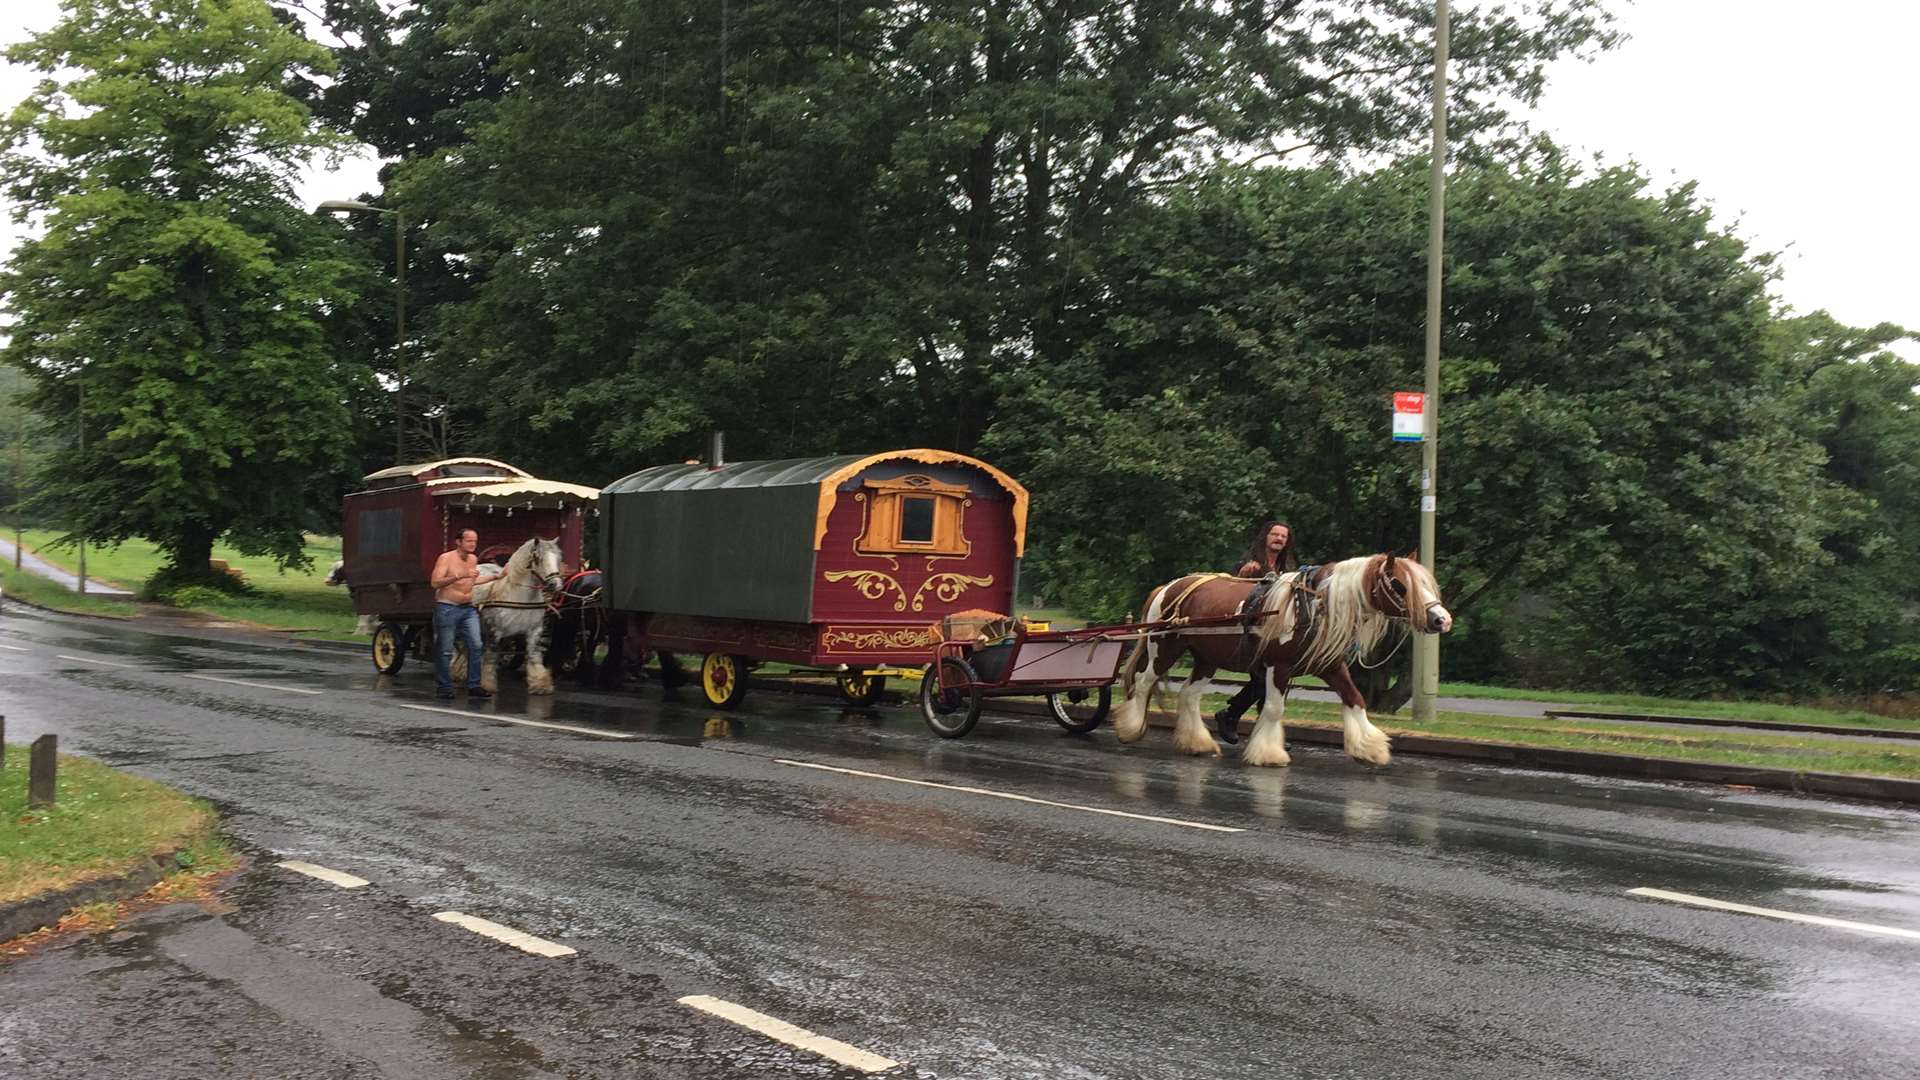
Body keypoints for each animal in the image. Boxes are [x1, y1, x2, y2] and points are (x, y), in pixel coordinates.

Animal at [470, 534, 560, 691]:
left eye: (557, 558)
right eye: (538, 558)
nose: (555, 585)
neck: (521, 598)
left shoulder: (534, 631)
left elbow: (534, 656)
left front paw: (540, 684)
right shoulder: (494, 632)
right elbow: (490, 657)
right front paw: (487, 685)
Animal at [1113, 553, 1451, 764]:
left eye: (1426, 584)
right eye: (1399, 585)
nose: (1442, 620)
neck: (1314, 605)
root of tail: (1169, 586)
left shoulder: (1331, 666)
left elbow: (1355, 699)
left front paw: (1369, 747)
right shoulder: (1279, 666)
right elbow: (1274, 709)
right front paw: (1268, 753)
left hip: (1207, 658)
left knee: (1188, 695)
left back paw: (1197, 742)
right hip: (1164, 647)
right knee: (1142, 683)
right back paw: (1131, 727)